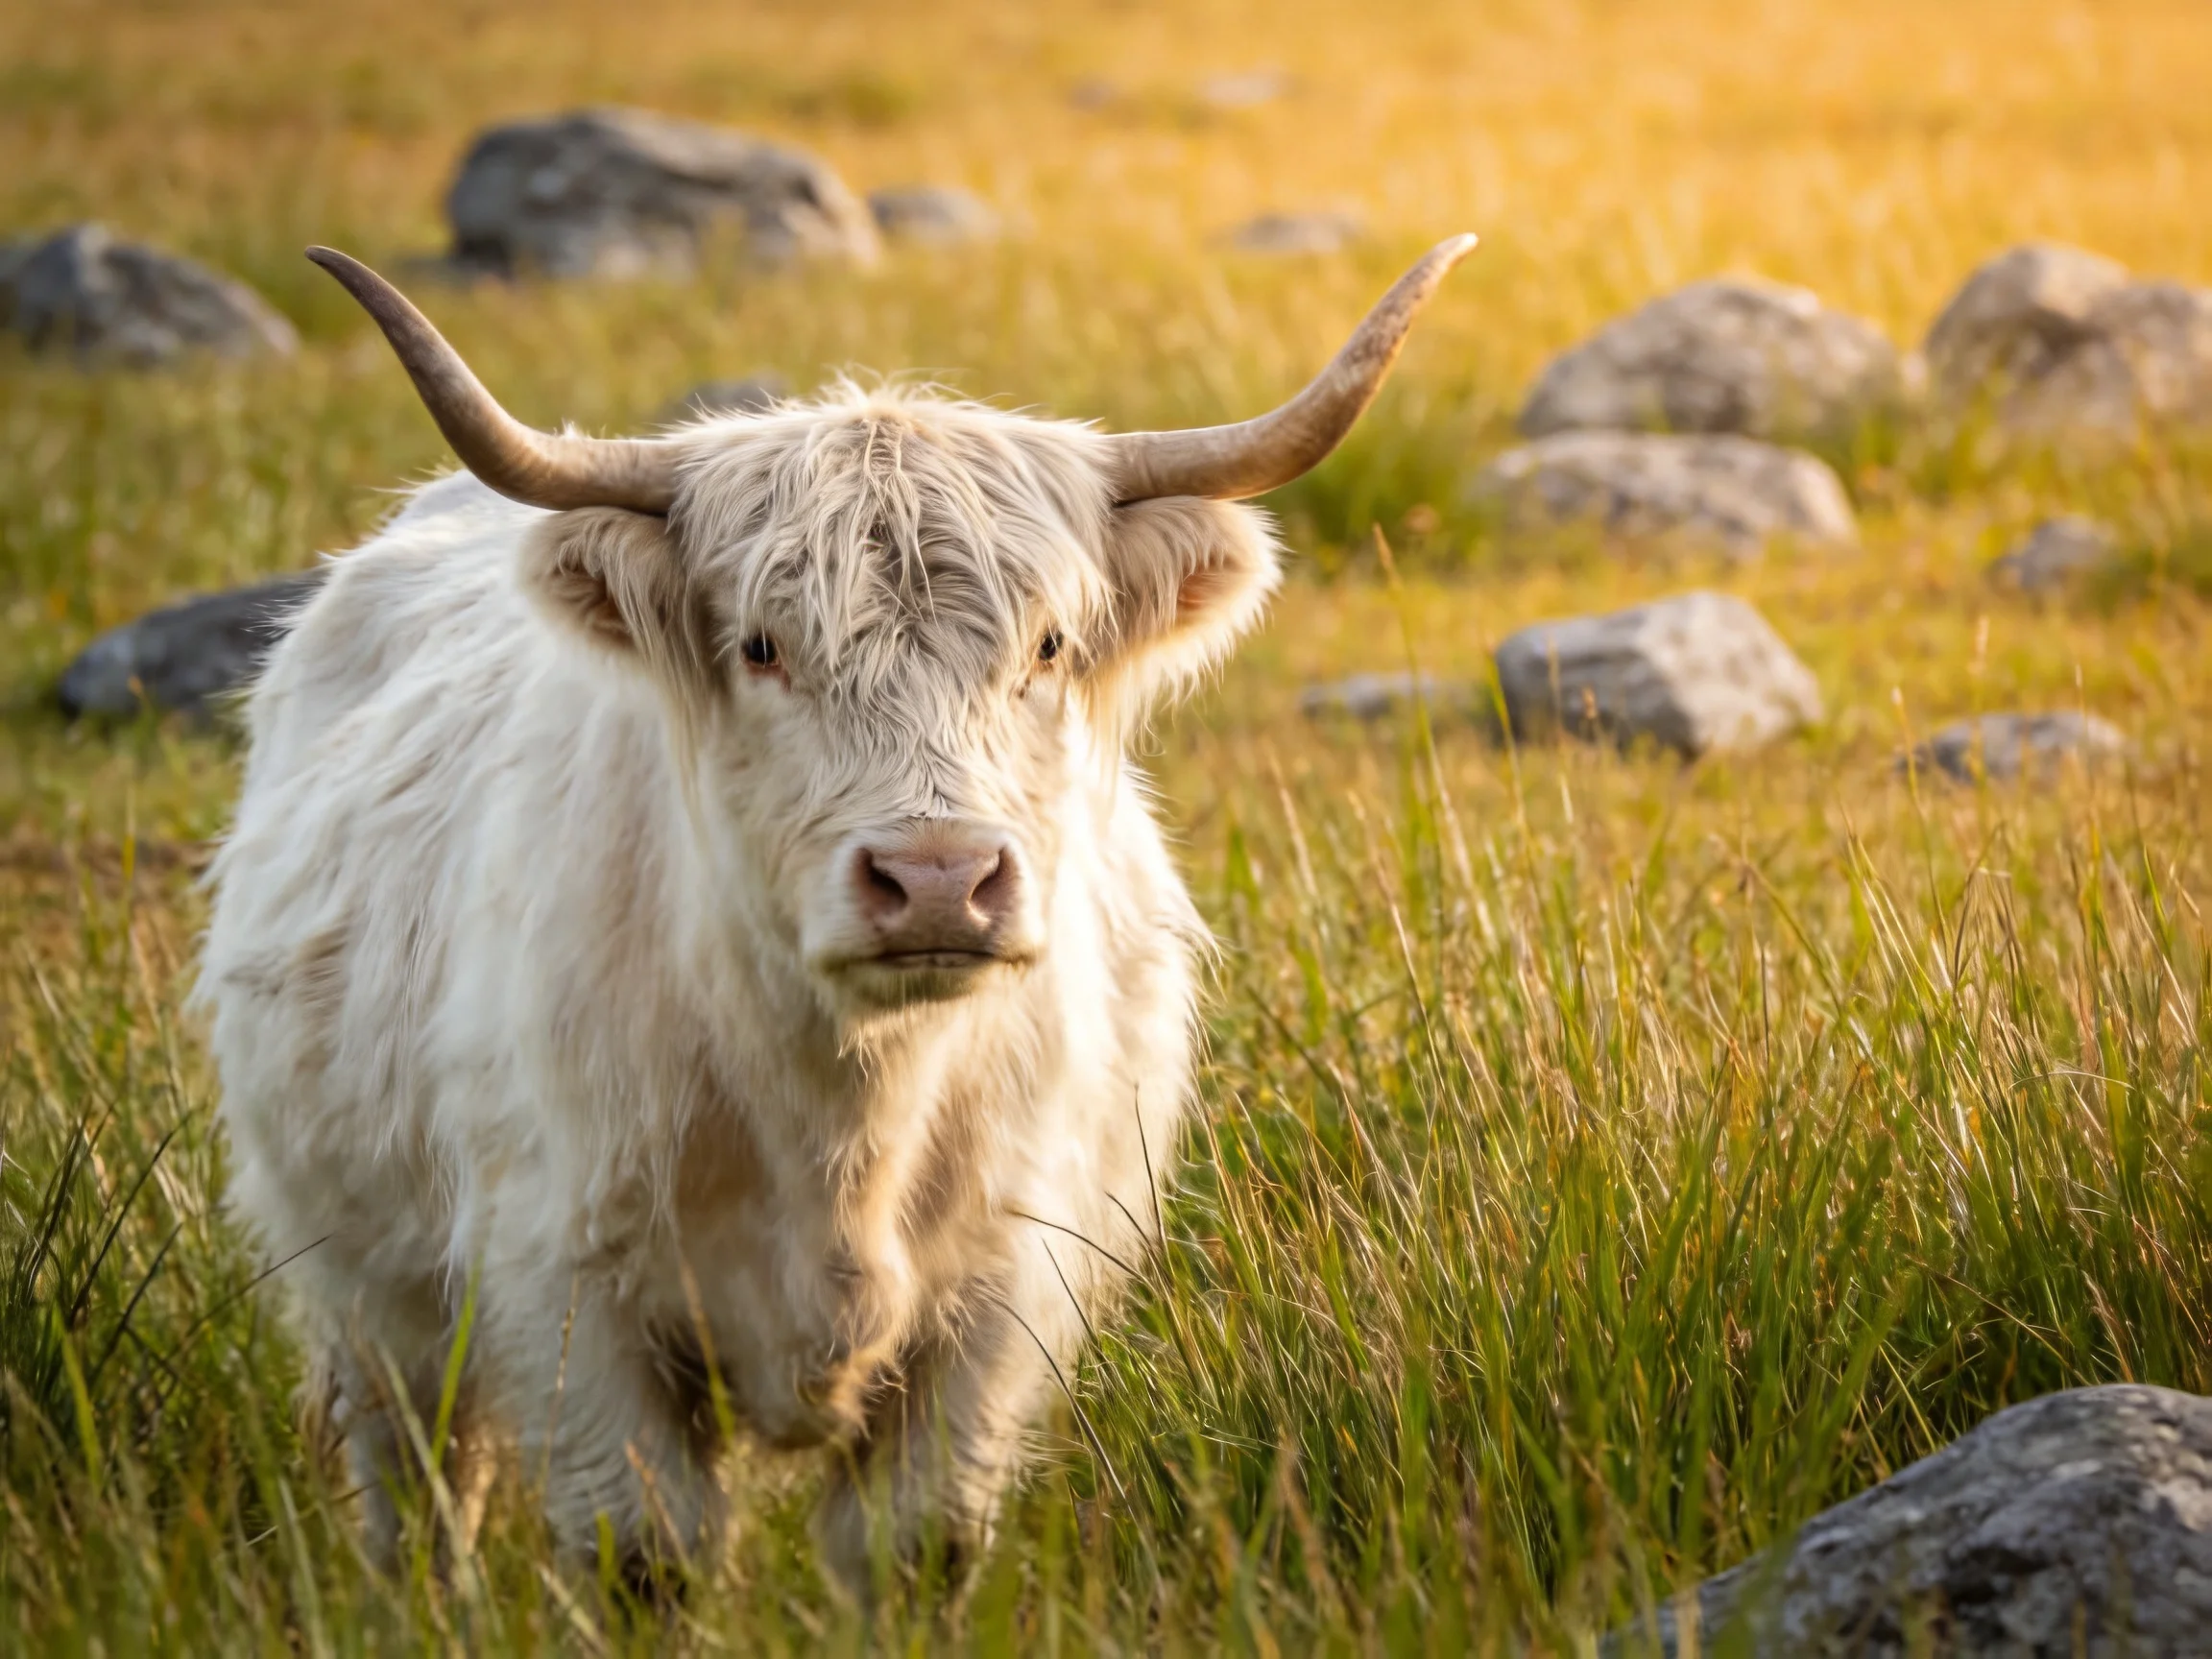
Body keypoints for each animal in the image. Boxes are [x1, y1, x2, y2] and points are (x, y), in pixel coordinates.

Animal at [200, 234, 1474, 1589]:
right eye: (763, 645)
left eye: (1050, 645)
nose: (938, 879)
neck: (849, 1113)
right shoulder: (566, 1292)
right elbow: (643, 1552)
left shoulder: (995, 1302)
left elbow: (914, 1548)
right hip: (363, 1285)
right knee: (416, 1482)